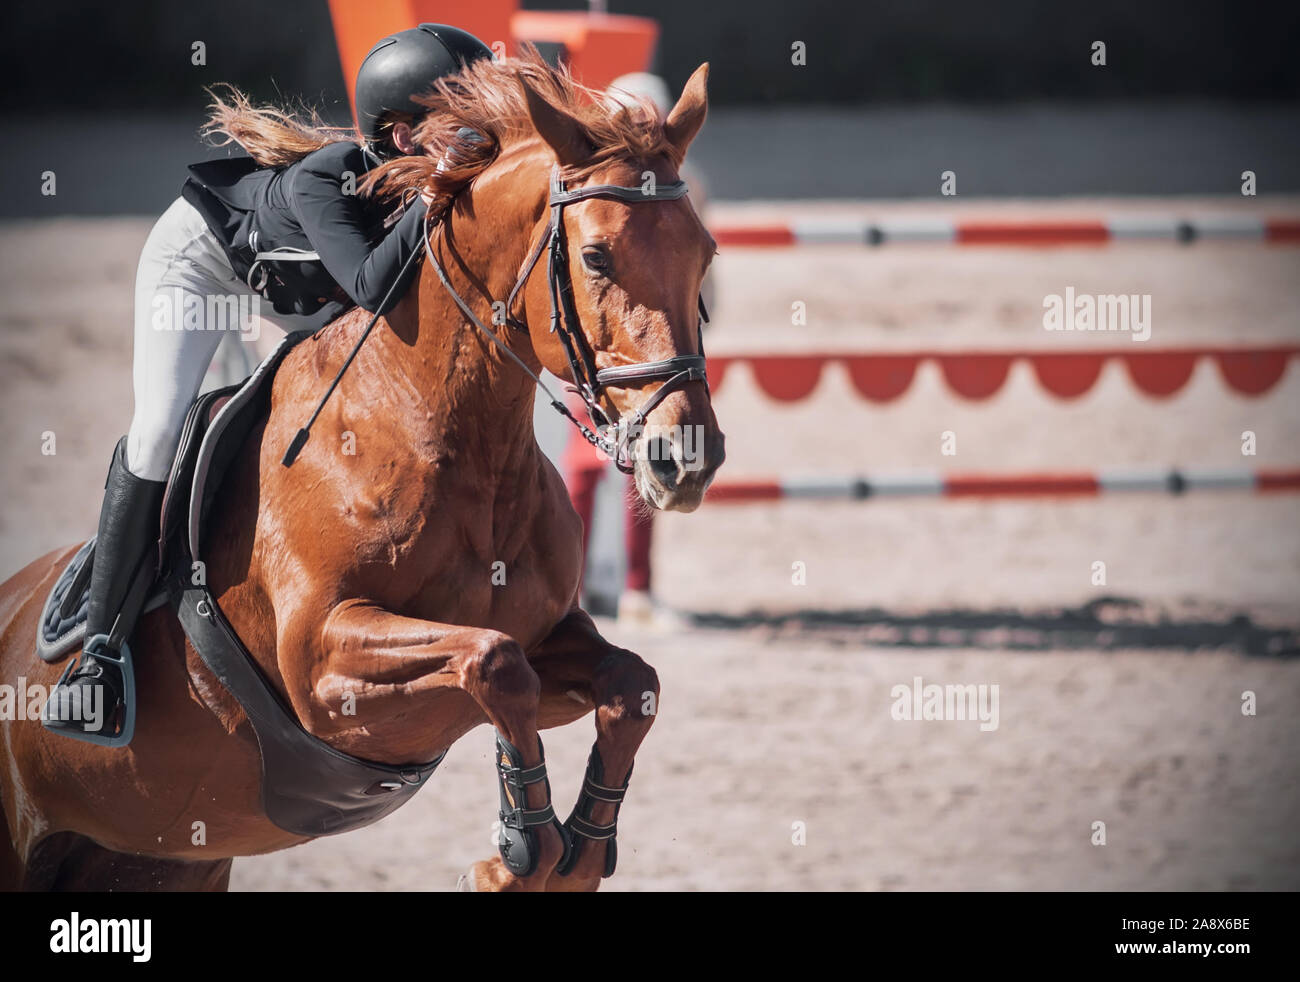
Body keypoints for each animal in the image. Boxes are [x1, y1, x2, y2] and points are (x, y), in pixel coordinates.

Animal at [0, 55, 722, 900]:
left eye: (706, 252)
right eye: (598, 256)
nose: (688, 457)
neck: (449, 440)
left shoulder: (546, 637)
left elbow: (629, 683)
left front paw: (576, 848)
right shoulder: (321, 667)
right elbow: (495, 665)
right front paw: (518, 850)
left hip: (162, 861)